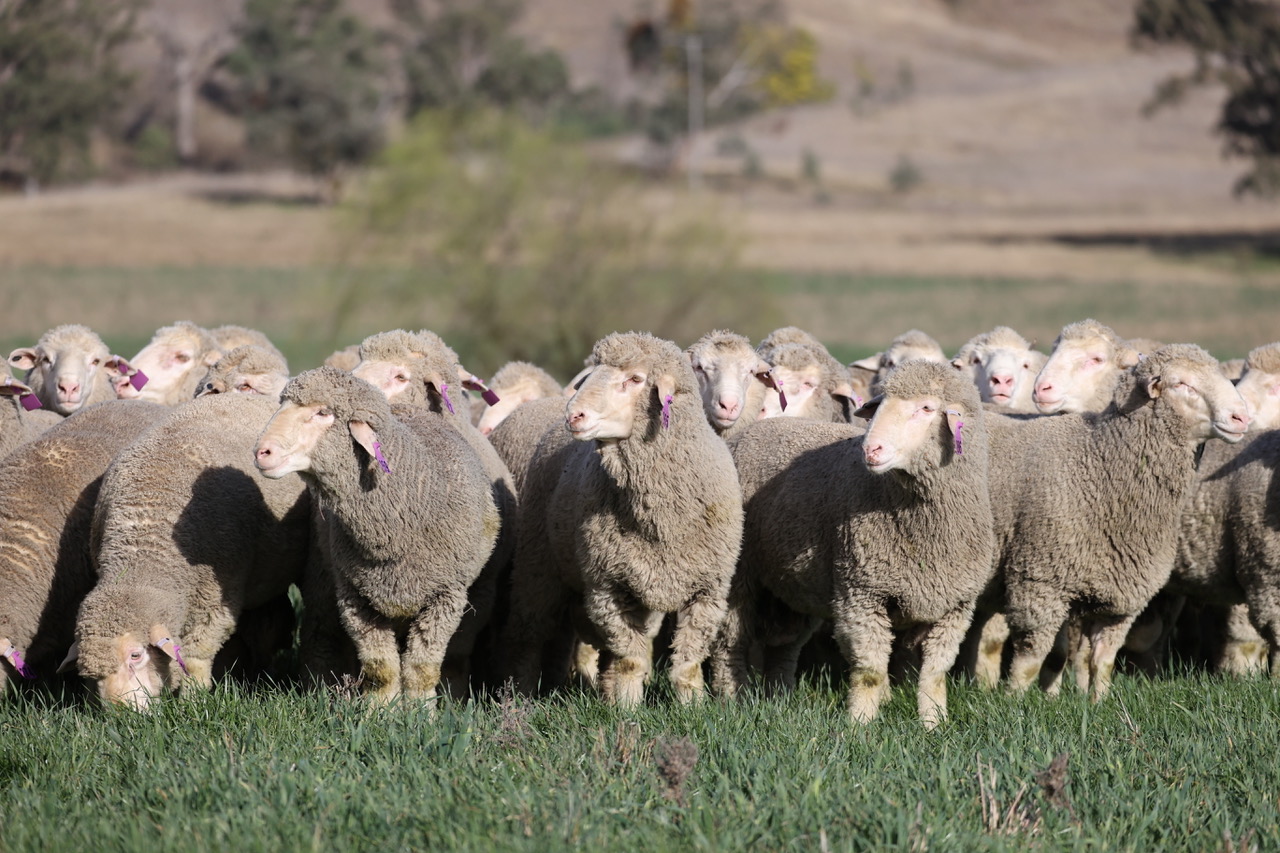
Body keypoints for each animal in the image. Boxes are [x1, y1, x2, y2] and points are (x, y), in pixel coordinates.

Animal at [66, 388, 311, 709]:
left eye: (136, 655)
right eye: (91, 672)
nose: (121, 714)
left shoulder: (216, 601)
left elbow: (195, 657)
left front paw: (193, 701)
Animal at [254, 367, 500, 703]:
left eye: (323, 412)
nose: (261, 452)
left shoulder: (446, 597)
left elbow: (422, 668)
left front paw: (422, 710)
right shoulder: (356, 597)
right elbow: (380, 668)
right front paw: (380, 710)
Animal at [504, 332, 744, 706]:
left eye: (635, 379)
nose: (574, 415)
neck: (663, 518)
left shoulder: (708, 590)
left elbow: (687, 665)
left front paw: (692, 708)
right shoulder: (607, 586)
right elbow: (630, 659)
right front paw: (628, 710)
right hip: (538, 563)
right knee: (528, 635)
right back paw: (519, 698)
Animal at [716, 361, 993, 728]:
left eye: (926, 408)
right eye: (882, 403)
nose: (871, 450)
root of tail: (749, 432)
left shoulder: (956, 606)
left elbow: (935, 673)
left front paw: (934, 724)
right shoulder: (861, 593)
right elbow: (870, 672)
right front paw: (861, 725)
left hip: (793, 584)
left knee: (784, 644)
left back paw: (779, 697)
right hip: (740, 574)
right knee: (729, 642)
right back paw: (730, 699)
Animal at [992, 344, 1249, 701]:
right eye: (1182, 384)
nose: (1242, 418)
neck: (1098, 464)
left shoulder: (1122, 593)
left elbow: (1101, 659)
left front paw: (1096, 701)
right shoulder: (1040, 581)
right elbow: (1032, 657)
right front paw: (1015, 702)